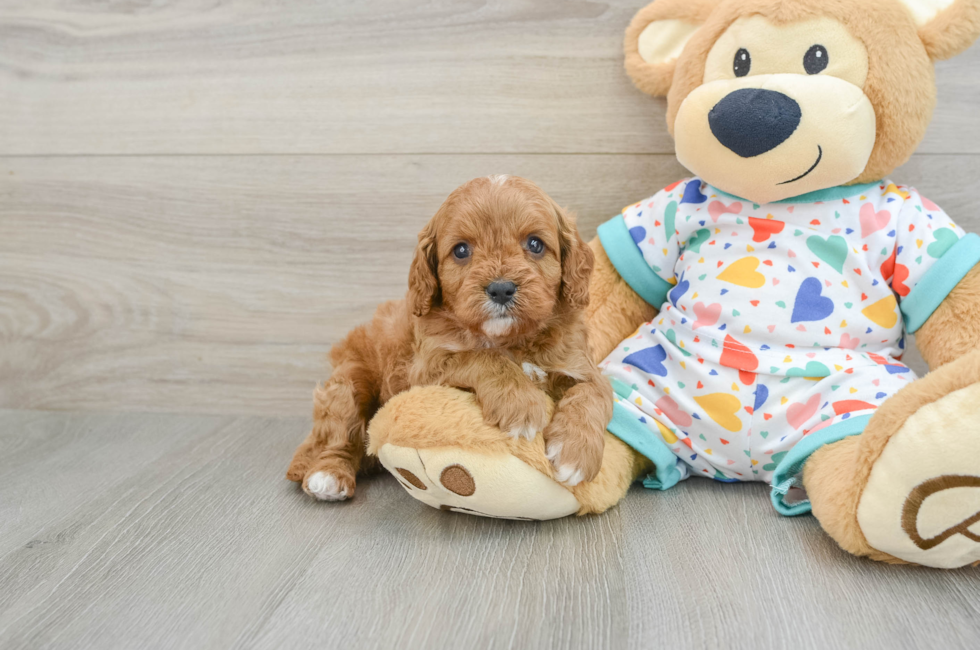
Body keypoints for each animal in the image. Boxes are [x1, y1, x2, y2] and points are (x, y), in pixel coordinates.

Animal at [284, 175, 616, 498]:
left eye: (535, 244)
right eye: (461, 250)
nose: (501, 289)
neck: (510, 339)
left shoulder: (578, 362)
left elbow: (595, 392)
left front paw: (575, 453)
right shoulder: (424, 369)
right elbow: (483, 357)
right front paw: (520, 404)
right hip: (348, 381)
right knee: (339, 433)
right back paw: (329, 476)